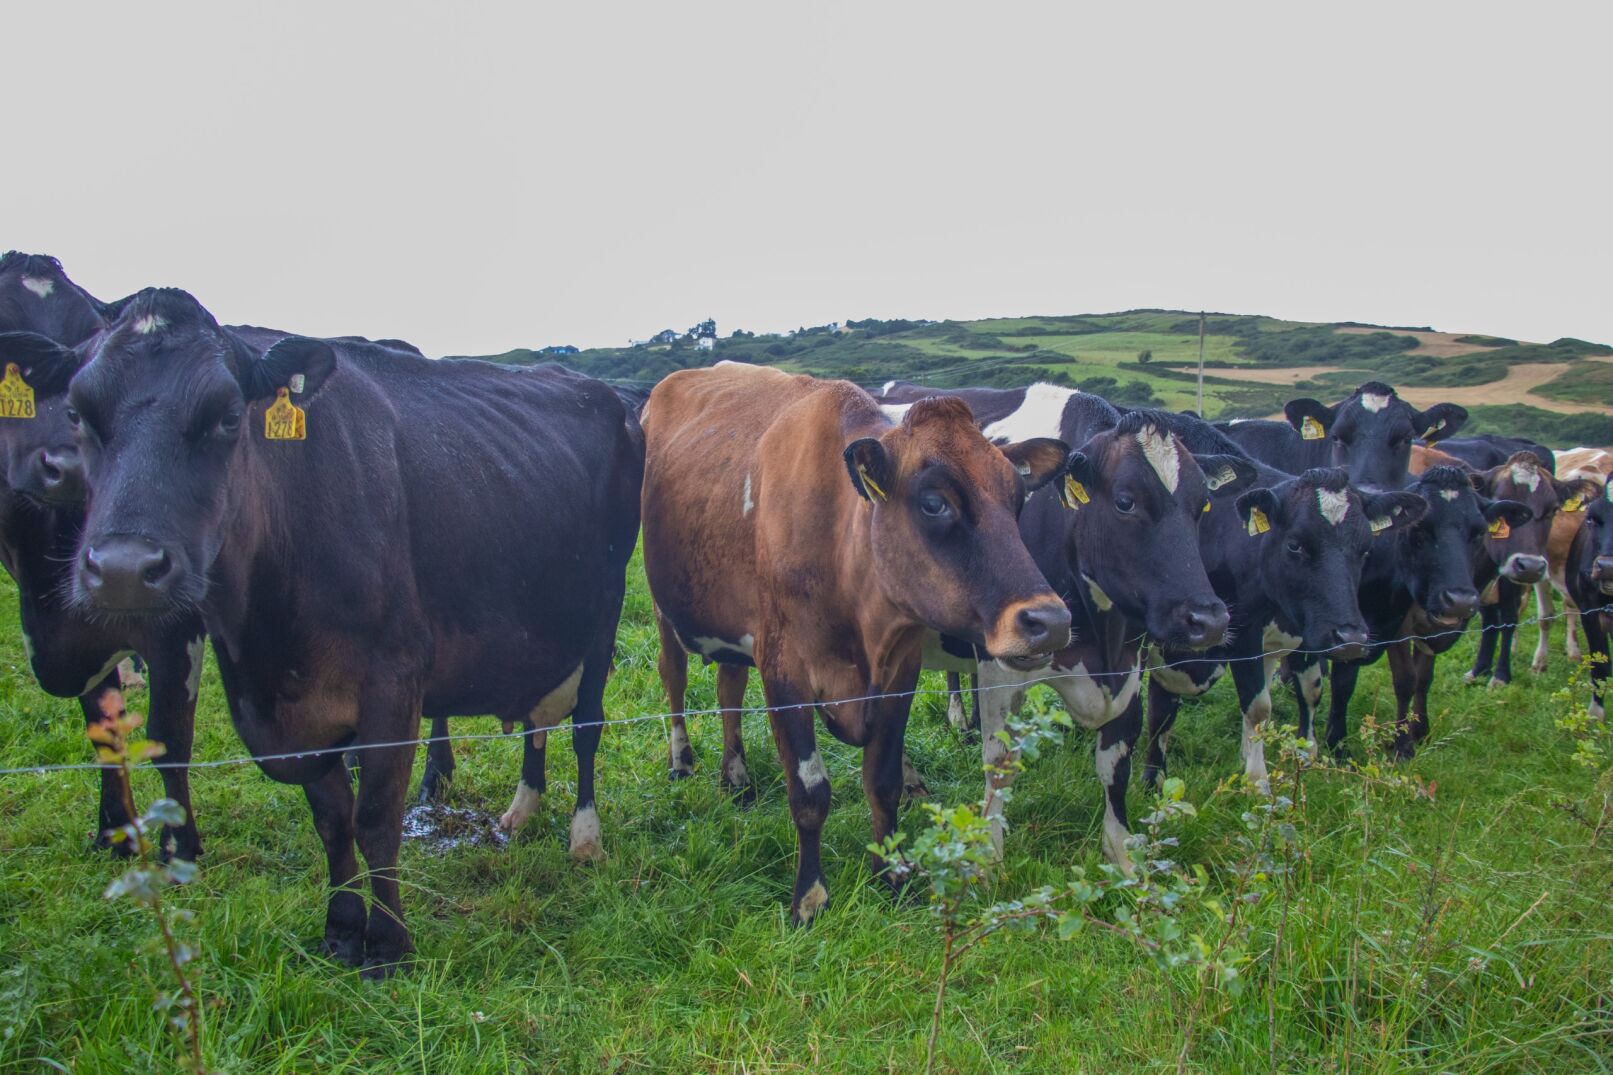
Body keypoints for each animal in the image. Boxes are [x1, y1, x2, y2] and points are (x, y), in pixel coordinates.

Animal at [0, 253, 207, 860]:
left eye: (86, 336)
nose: (68, 466)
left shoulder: (178, 625)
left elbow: (169, 737)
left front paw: (179, 844)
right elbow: (101, 727)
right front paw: (115, 830)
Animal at [38, 288, 642, 976]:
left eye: (227, 417)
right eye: (77, 415)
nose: (122, 570)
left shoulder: (394, 682)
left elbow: (376, 817)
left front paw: (389, 945)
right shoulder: (290, 714)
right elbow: (332, 819)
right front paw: (342, 928)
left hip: (603, 615)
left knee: (587, 725)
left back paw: (584, 836)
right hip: (543, 631)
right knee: (539, 720)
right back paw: (523, 808)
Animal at [641, 363, 1072, 924]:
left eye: (1017, 499)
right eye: (934, 502)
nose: (1051, 620)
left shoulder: (899, 672)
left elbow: (883, 783)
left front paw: (892, 876)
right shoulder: (784, 669)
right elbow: (809, 792)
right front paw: (810, 898)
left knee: (728, 686)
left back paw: (736, 776)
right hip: (663, 606)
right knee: (674, 677)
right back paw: (682, 761)